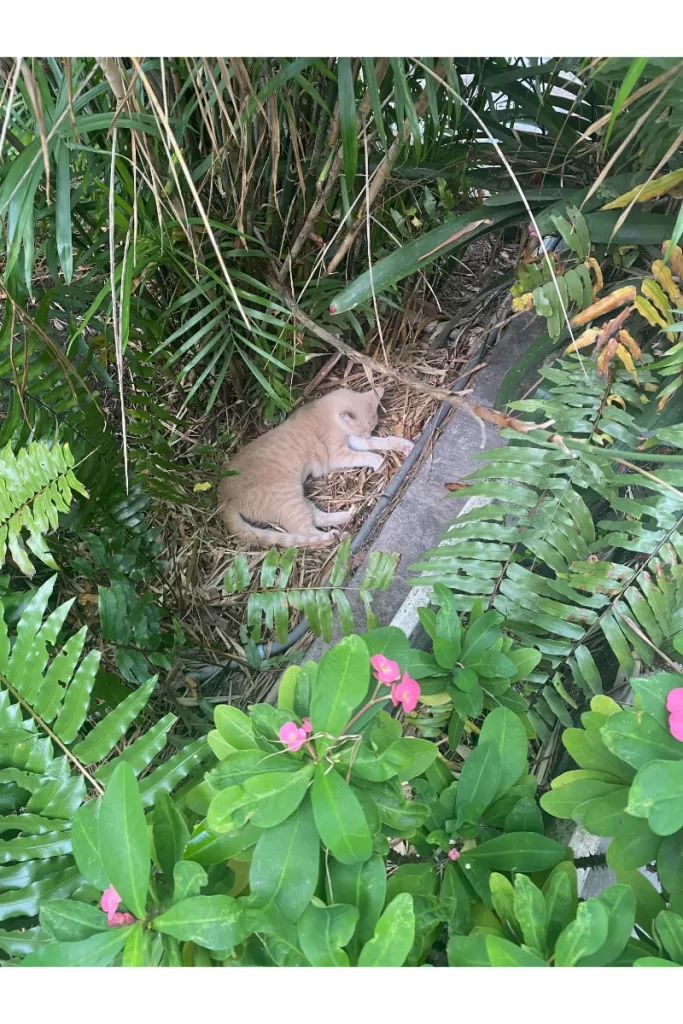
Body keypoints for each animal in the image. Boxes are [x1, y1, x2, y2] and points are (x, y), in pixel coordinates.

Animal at [220, 385, 411, 548]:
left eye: (371, 428)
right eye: (363, 430)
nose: (367, 434)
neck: (328, 415)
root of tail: (223, 499)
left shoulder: (353, 441)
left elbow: (380, 442)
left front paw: (404, 445)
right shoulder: (338, 454)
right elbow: (366, 454)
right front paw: (379, 461)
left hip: (296, 497)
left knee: (316, 517)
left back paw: (349, 514)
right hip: (288, 499)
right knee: (303, 533)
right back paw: (336, 536)